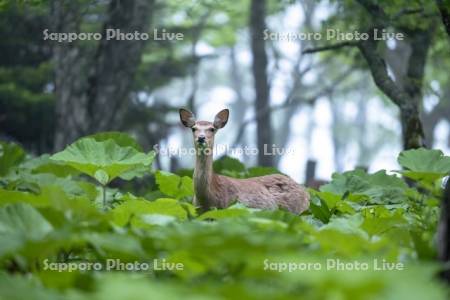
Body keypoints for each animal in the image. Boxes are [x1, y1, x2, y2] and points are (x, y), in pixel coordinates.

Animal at [179, 108, 310, 213]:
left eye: (212, 129)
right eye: (193, 128)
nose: (201, 138)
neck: (208, 197)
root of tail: (306, 193)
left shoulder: (227, 208)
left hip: (296, 211)